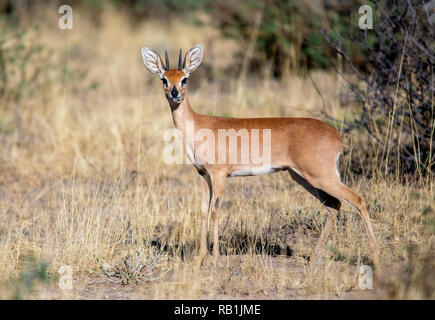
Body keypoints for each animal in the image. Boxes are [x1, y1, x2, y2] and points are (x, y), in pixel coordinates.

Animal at [141, 43, 380, 266]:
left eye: (185, 79)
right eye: (164, 79)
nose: (175, 94)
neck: (198, 125)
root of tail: (336, 136)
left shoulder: (219, 175)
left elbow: (216, 210)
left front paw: (215, 258)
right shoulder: (203, 175)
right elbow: (202, 210)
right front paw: (200, 259)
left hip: (320, 176)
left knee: (357, 200)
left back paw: (375, 257)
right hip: (302, 177)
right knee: (334, 205)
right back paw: (313, 258)